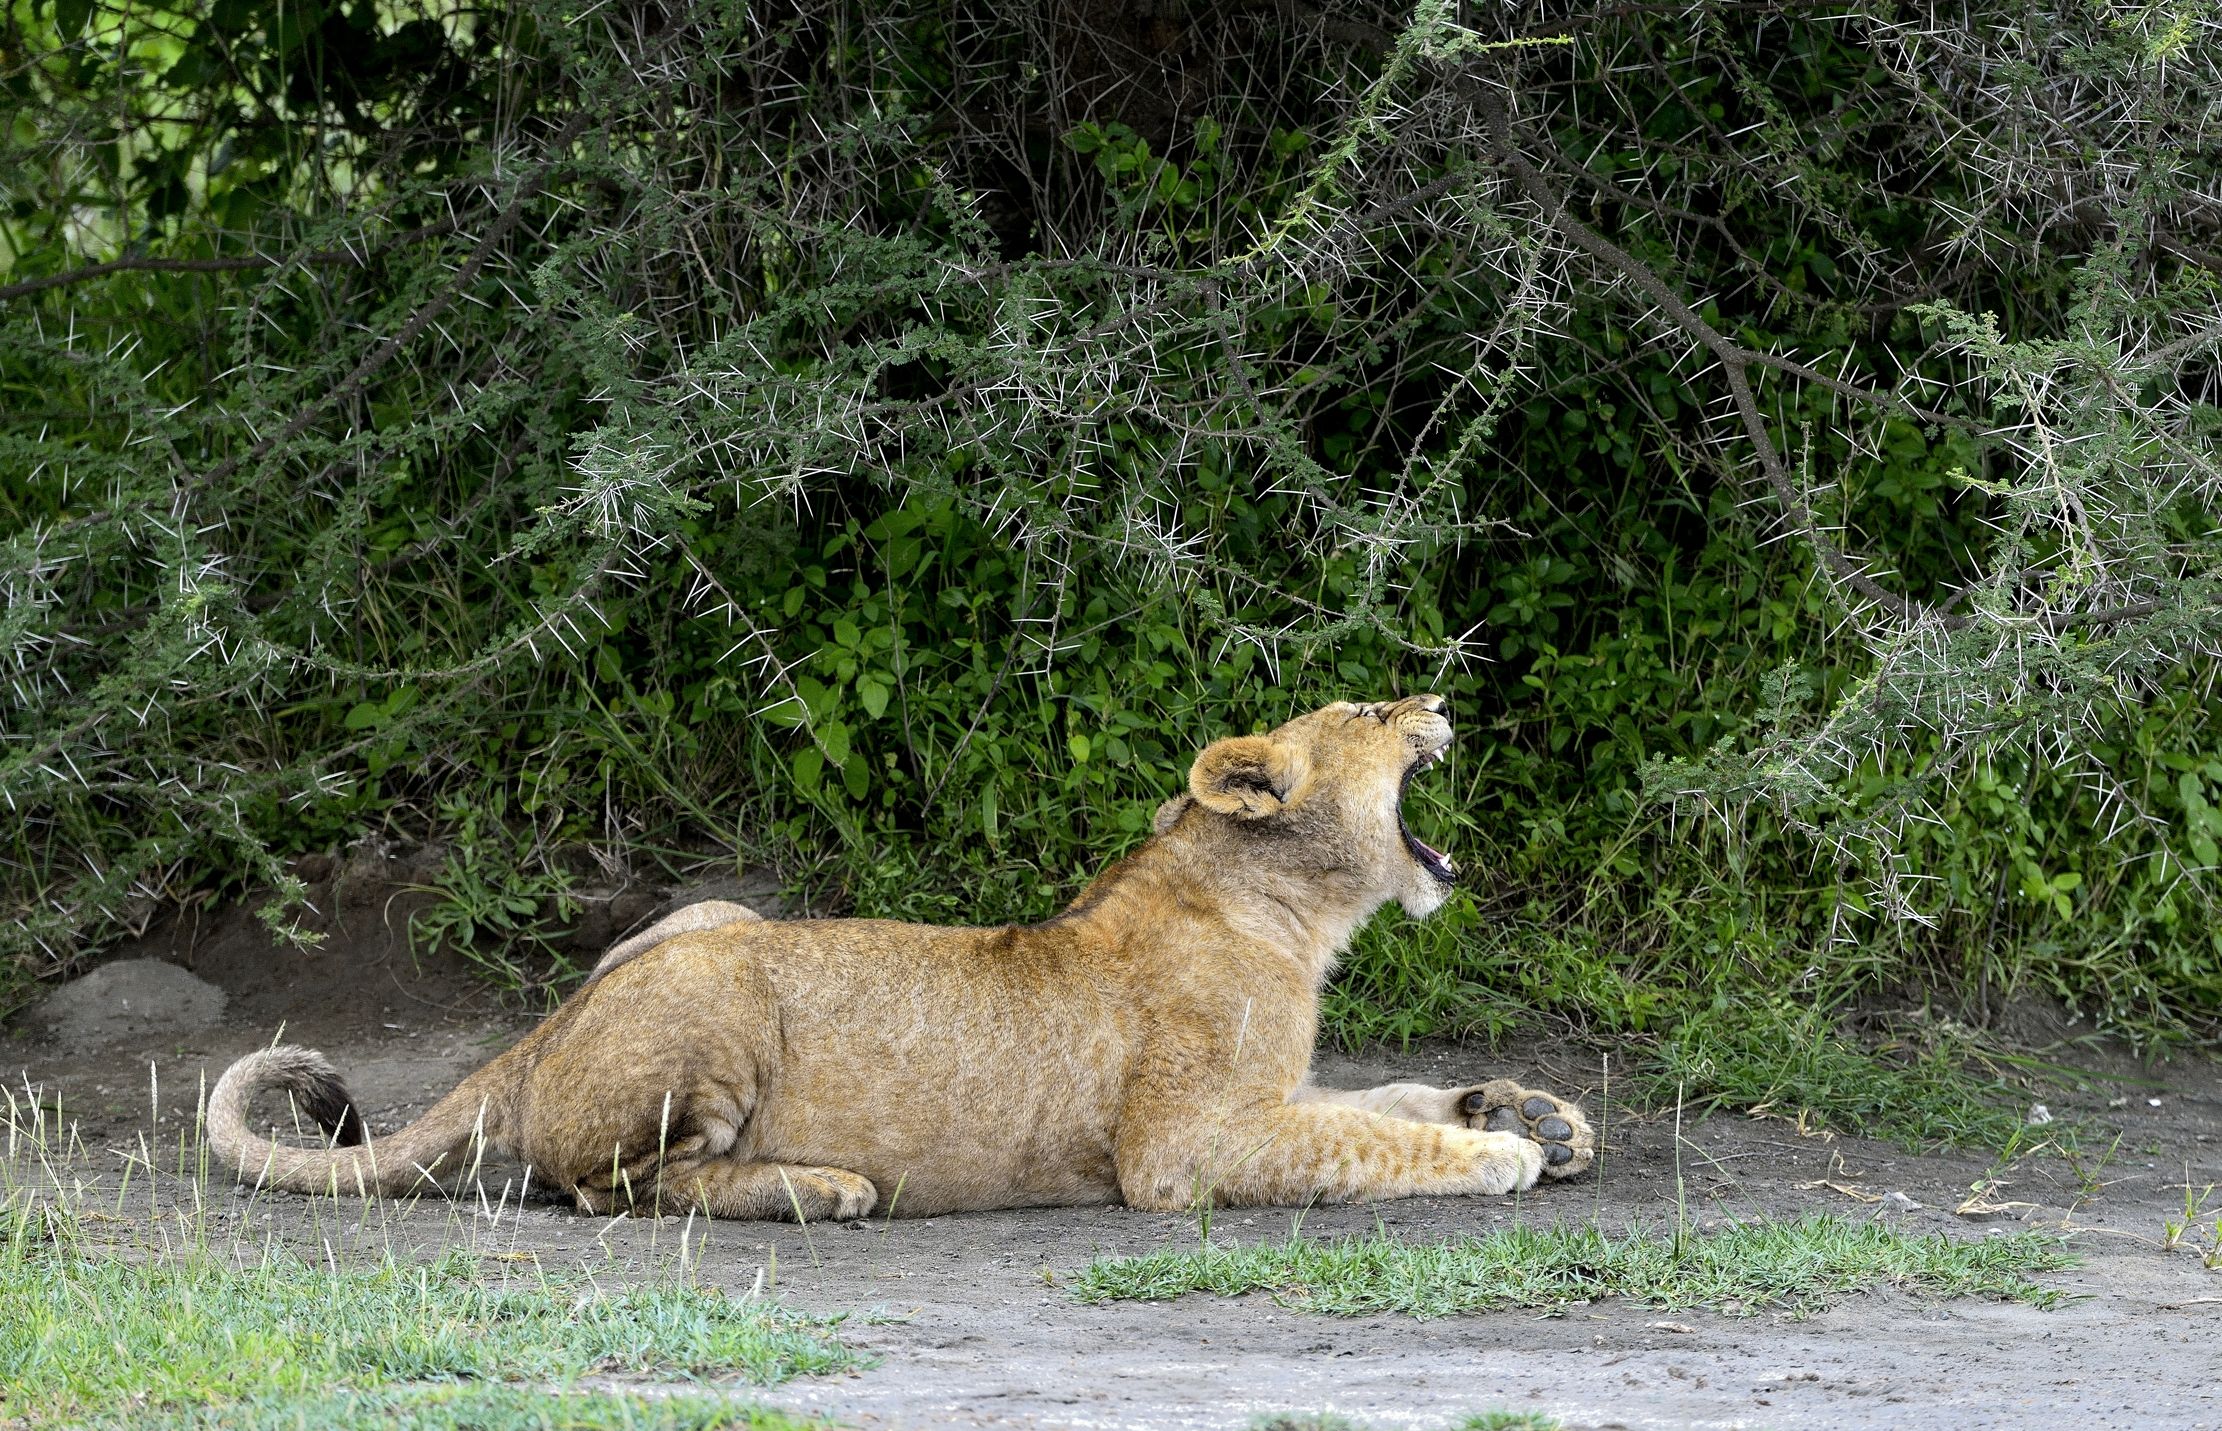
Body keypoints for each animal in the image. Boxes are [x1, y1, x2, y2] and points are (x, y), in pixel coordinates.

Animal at [208, 695, 1595, 1219]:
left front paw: (1534, 1111)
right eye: (1366, 712)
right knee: (616, 1189)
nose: (1437, 700)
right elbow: (1364, 1139)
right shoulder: (1180, 1151)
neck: (1290, 913)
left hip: (712, 915)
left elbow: (1384, 1096)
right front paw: (1497, 1153)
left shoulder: (1272, 1093)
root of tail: (532, 1039)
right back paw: (819, 1188)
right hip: (718, 1000)